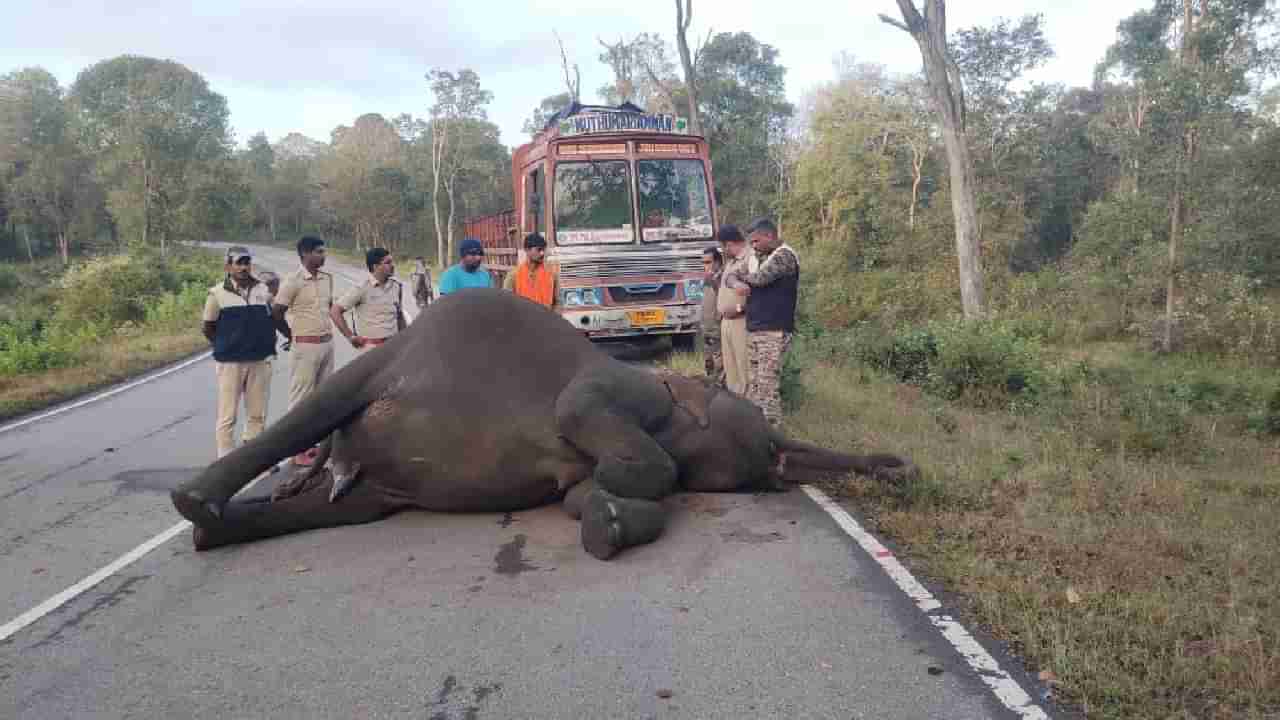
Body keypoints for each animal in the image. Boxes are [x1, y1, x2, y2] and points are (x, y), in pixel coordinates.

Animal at [170, 285, 916, 556]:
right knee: (322, 404)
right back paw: (195, 501)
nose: (898, 466)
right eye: (757, 424)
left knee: (334, 507)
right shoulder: (622, 388)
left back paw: (214, 528)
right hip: (383, 368)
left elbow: (597, 488)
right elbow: (592, 419)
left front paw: (603, 515)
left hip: (371, 489)